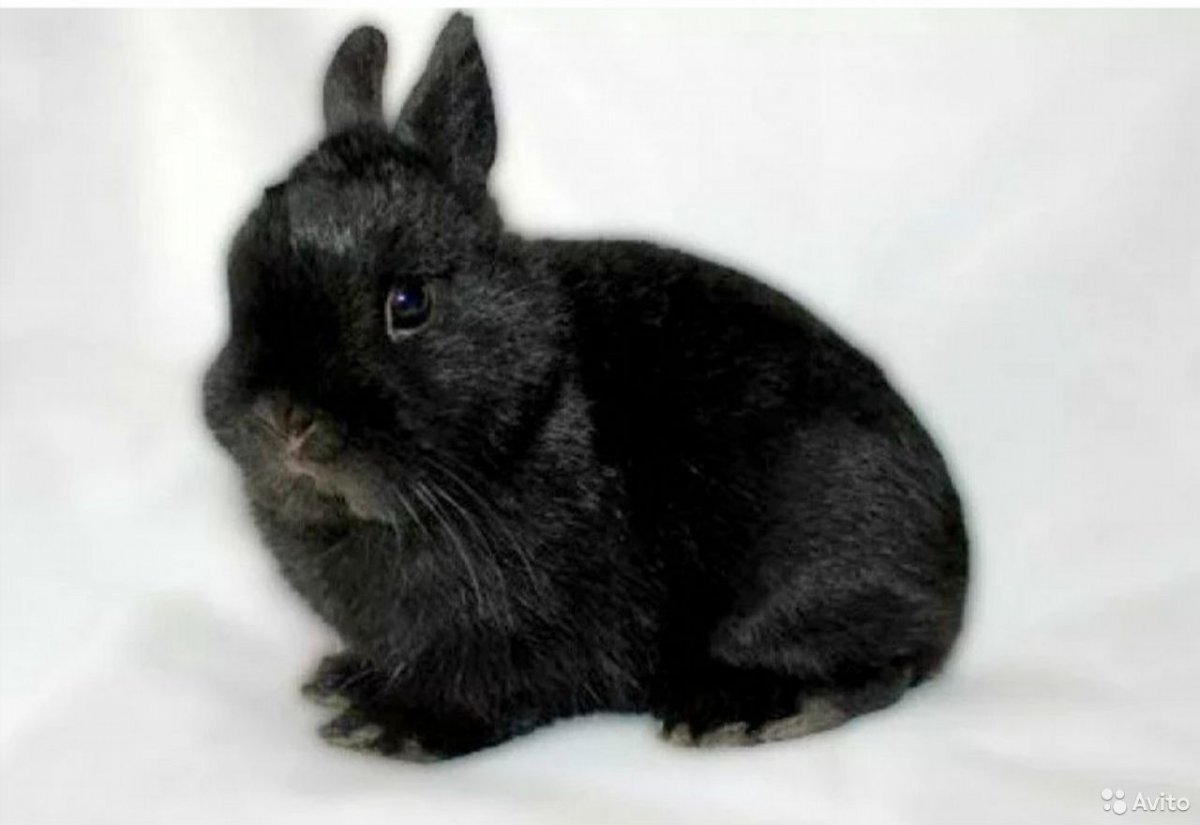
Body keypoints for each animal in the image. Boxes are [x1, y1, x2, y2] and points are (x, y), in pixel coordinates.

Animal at [202, 13, 969, 760]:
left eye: (409, 302)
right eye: (239, 275)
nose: (284, 418)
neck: (526, 416)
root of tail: (953, 581)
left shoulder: (530, 623)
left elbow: (487, 686)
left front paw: (388, 725)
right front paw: (345, 679)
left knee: (877, 670)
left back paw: (738, 714)